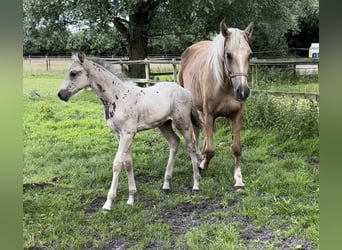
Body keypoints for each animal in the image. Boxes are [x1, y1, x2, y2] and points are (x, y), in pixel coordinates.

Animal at [57, 53, 202, 211]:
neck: (118, 97)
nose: (61, 95)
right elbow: (128, 163)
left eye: (73, 73)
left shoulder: (128, 134)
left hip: (183, 123)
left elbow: (117, 163)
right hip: (164, 124)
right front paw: (131, 197)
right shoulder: (119, 134)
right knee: (175, 142)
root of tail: (186, 91)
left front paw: (108, 203)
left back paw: (196, 184)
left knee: (191, 146)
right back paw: (166, 184)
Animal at [178, 21, 252, 188]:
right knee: (196, 133)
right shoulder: (209, 114)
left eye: (250, 55)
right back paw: (198, 157)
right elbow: (211, 149)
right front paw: (202, 164)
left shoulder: (237, 116)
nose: (243, 92)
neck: (225, 86)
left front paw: (238, 179)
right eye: (228, 55)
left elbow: (236, 148)